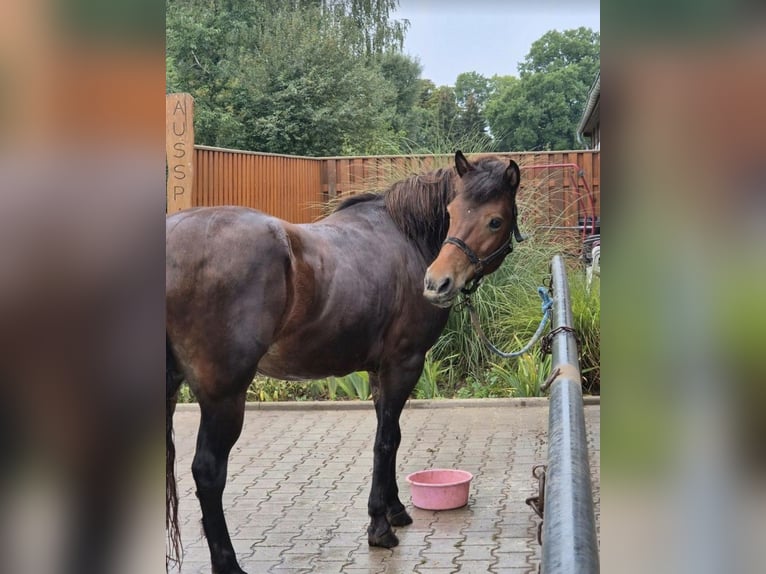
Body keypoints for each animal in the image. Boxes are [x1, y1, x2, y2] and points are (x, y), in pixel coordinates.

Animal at [166, 151, 522, 573]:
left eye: (494, 220)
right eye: (451, 212)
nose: (438, 283)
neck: (406, 237)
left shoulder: (379, 372)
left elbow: (390, 435)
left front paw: (394, 509)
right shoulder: (404, 364)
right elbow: (386, 441)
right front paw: (380, 527)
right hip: (224, 397)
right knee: (208, 472)